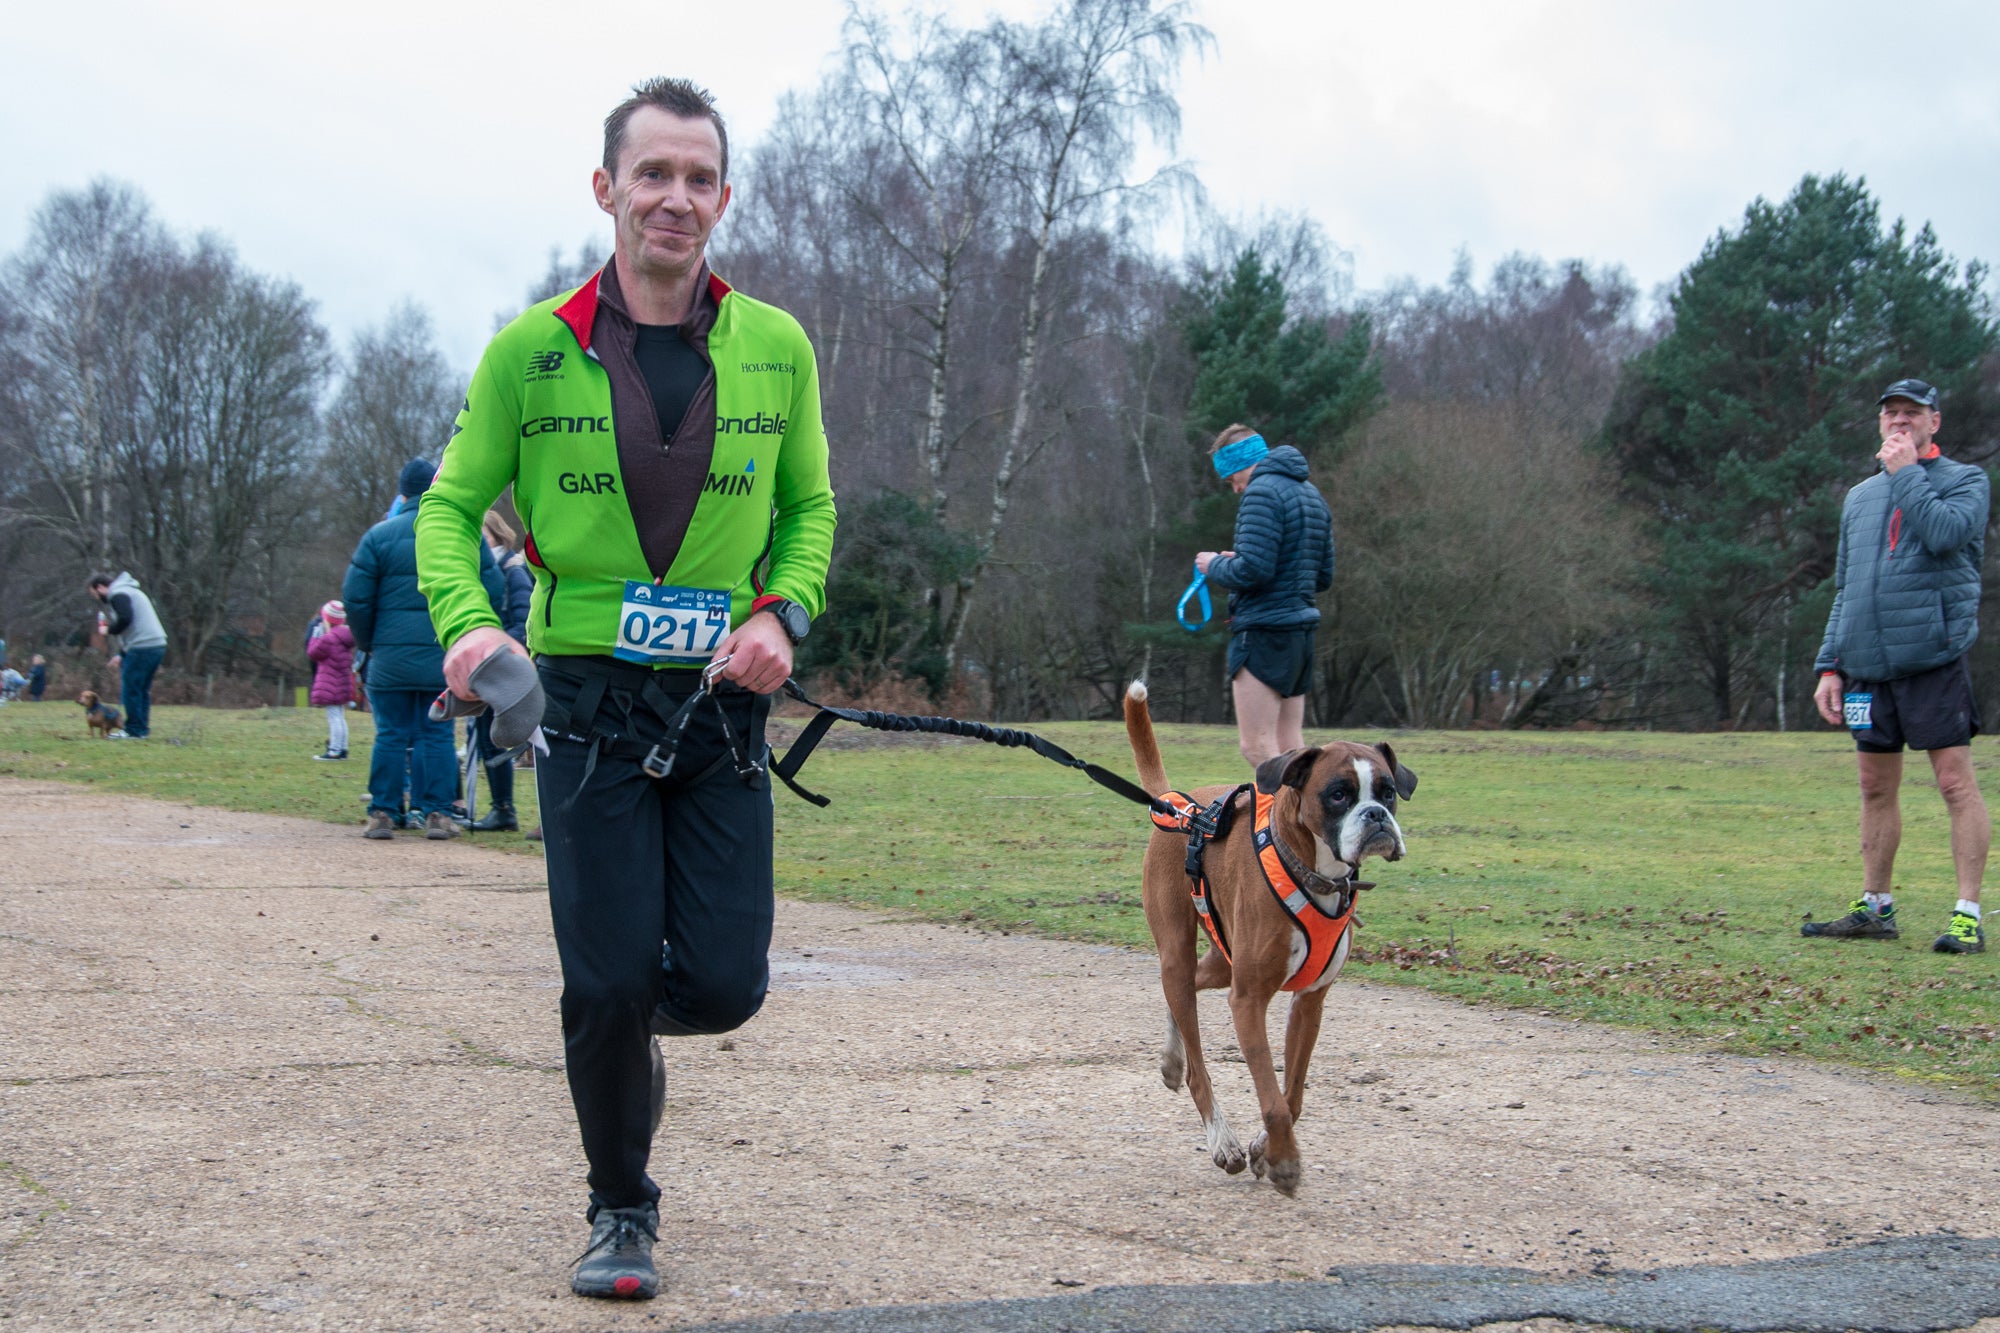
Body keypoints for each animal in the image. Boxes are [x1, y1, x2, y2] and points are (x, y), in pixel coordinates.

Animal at [1120, 680, 1416, 1184]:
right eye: (1339, 794)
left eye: (1389, 792)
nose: (1376, 815)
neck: (1315, 872)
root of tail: (1178, 805)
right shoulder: (1248, 1000)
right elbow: (1272, 1100)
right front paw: (1281, 1160)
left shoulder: (1309, 1005)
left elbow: (1290, 1097)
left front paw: (1266, 1148)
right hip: (1181, 950)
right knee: (1196, 1060)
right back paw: (1221, 1139)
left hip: (1222, 961)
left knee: (1186, 991)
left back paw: (1172, 1059)